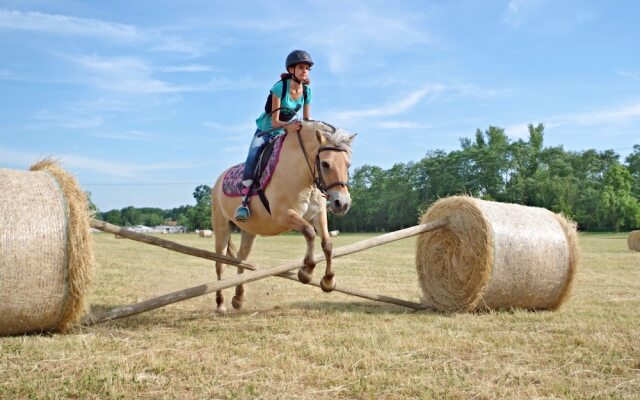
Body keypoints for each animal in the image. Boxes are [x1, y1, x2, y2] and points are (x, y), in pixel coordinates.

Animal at [212, 119, 358, 312]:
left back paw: (238, 298)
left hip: (249, 231)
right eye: (325, 164)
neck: (303, 174)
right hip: (222, 227)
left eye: (348, 165)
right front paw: (306, 272)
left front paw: (328, 281)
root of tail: (219, 180)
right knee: (219, 264)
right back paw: (220, 303)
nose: (342, 203)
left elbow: (327, 244)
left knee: (241, 259)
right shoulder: (283, 215)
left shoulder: (318, 215)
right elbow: (309, 232)